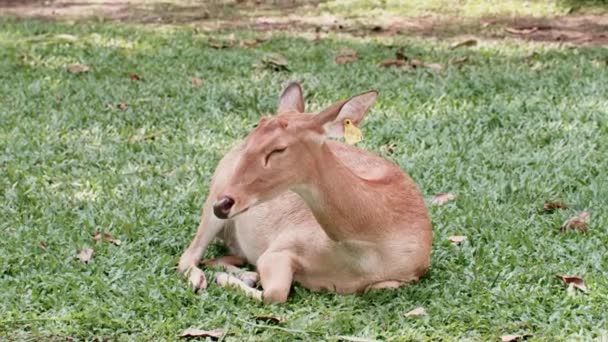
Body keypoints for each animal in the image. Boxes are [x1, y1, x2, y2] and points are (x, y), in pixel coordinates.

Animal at [176, 81, 432, 304]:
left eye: (278, 149)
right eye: (250, 139)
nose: (224, 203)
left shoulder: (410, 273)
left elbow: (381, 286)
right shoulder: (280, 247)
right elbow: (275, 293)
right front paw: (225, 279)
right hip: (215, 192)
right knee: (189, 257)